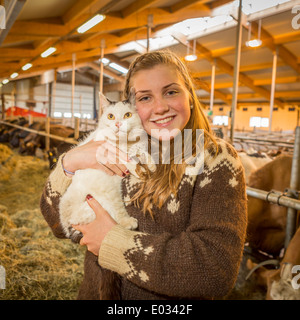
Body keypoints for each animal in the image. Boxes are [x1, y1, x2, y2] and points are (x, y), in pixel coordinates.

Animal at [59, 91, 152, 241]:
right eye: (110, 116)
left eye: (127, 115)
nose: (118, 124)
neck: (125, 143)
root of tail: (67, 224)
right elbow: (127, 160)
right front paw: (140, 171)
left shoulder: (137, 146)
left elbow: (141, 152)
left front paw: (151, 164)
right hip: (106, 196)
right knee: (117, 210)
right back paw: (128, 222)